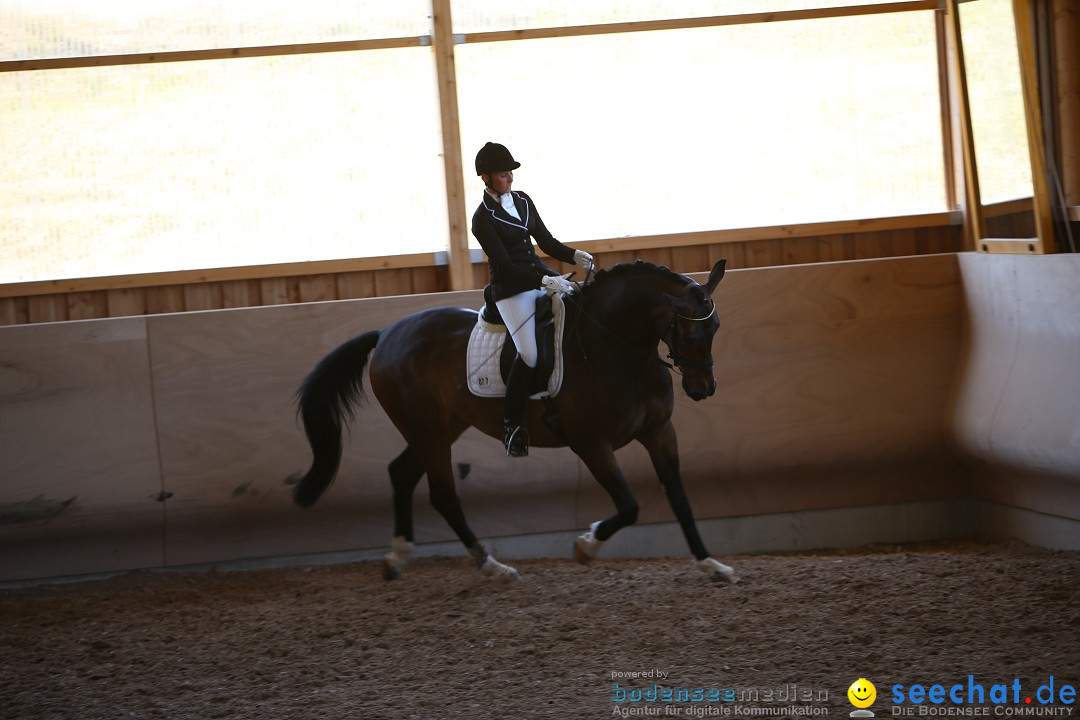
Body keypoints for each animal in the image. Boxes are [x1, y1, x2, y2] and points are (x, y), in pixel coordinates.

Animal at [291, 259, 738, 587]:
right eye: (689, 333)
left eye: (715, 328)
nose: (704, 388)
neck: (616, 349)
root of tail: (386, 334)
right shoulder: (591, 444)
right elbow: (629, 507)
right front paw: (585, 546)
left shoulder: (660, 433)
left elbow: (679, 499)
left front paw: (710, 564)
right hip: (428, 431)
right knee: (442, 495)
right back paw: (493, 567)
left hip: (440, 426)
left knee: (401, 473)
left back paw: (397, 557)